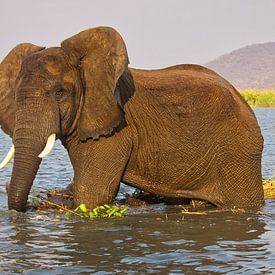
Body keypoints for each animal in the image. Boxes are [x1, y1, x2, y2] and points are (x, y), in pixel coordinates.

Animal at [0, 26, 264, 213]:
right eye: (16, 95)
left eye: (59, 92)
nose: (7, 186)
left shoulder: (113, 132)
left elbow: (92, 196)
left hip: (237, 154)